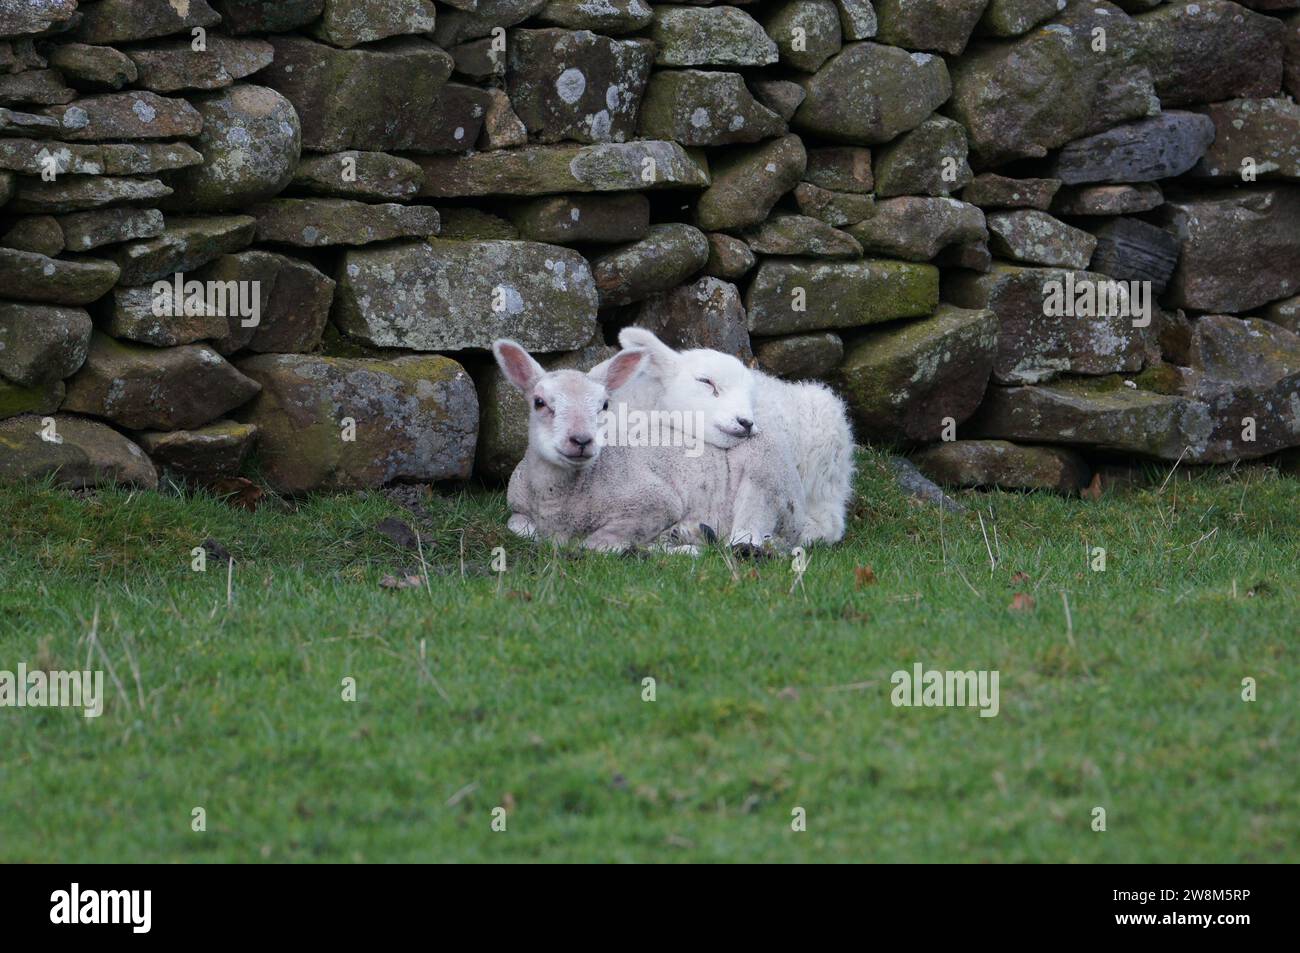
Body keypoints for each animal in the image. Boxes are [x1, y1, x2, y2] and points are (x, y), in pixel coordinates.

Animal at [493, 338, 806, 553]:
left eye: (604, 405)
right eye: (539, 402)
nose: (581, 440)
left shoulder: (654, 501)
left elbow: (595, 544)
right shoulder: (518, 511)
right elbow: (520, 529)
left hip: (764, 470)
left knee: (748, 532)